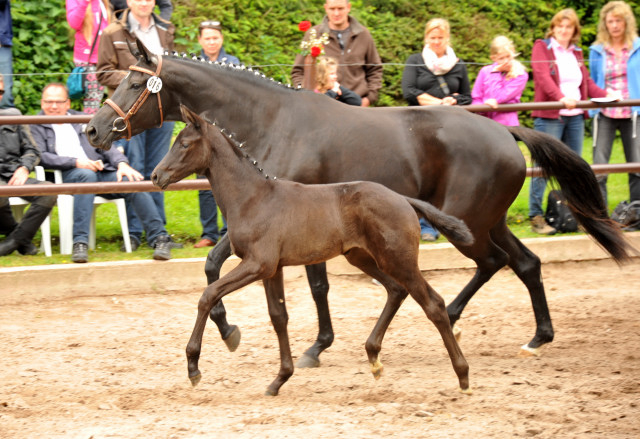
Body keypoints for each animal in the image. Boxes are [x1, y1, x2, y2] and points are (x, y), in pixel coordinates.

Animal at [152, 105, 476, 396]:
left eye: (184, 144)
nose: (156, 176)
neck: (251, 198)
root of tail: (404, 199)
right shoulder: (272, 269)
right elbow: (278, 317)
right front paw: (280, 379)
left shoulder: (257, 264)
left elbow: (208, 295)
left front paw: (193, 367)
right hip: (361, 257)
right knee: (396, 290)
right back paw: (373, 358)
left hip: (399, 260)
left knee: (433, 304)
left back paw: (462, 375)